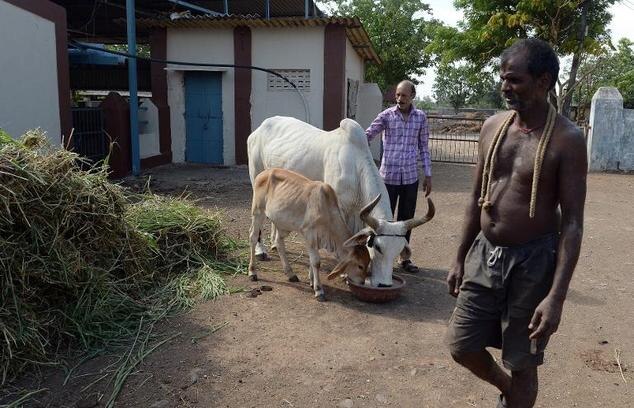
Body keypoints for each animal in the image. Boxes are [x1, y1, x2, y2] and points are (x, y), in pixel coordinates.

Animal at [244, 116, 432, 286]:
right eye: (377, 247)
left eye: (398, 249)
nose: (384, 284)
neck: (356, 168)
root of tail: (259, 129)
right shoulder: (338, 209)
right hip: (255, 179)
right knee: (256, 225)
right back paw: (261, 251)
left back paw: (275, 244)